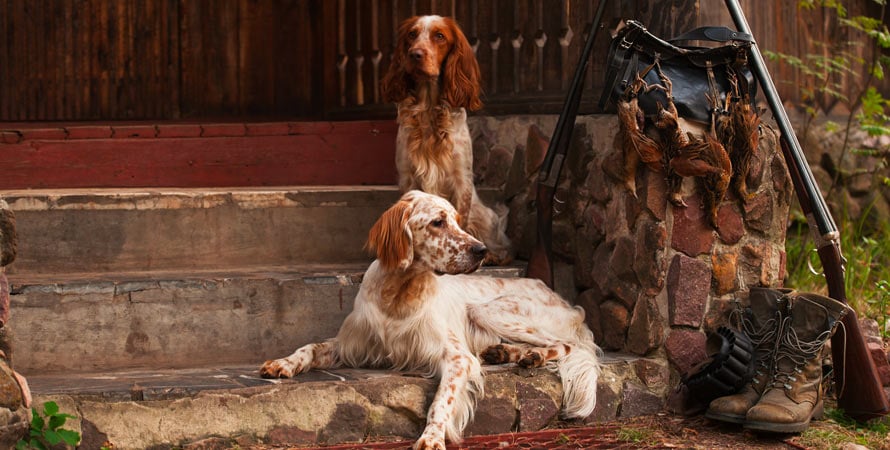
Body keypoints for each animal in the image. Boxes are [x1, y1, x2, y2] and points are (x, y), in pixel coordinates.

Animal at [260, 190, 600, 450]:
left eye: (458, 222)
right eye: (438, 222)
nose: (482, 250)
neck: (399, 294)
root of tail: (566, 301)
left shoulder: (457, 357)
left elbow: (441, 400)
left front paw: (432, 436)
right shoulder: (351, 345)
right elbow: (310, 347)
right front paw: (282, 363)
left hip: (489, 310)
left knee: (569, 346)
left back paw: (531, 356)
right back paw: (508, 353)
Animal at [378, 15, 510, 266]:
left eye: (439, 36)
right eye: (412, 34)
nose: (415, 54)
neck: (429, 109)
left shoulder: (461, 179)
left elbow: (461, 223)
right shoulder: (407, 176)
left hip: (486, 216)